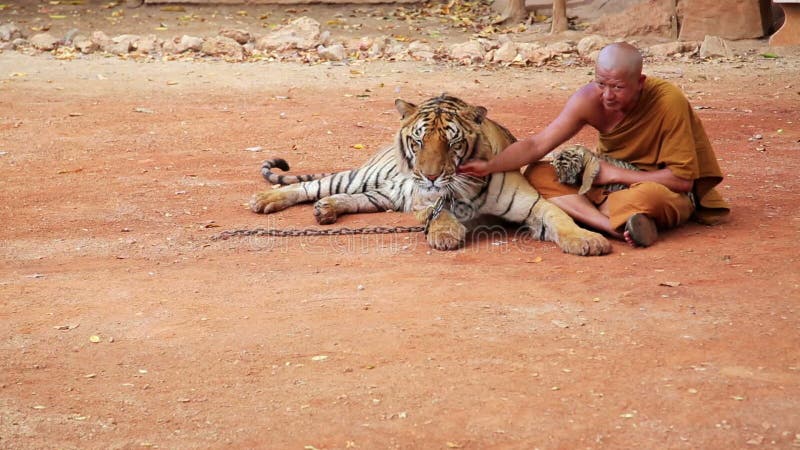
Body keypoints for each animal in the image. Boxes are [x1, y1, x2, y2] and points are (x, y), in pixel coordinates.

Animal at [250, 94, 612, 256]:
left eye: (451, 142)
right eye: (419, 140)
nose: (429, 176)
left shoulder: (533, 204)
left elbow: (560, 217)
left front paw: (587, 240)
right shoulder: (425, 201)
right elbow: (439, 214)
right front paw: (446, 233)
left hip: (381, 194)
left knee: (350, 198)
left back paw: (326, 210)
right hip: (364, 177)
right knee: (313, 185)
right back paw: (265, 200)